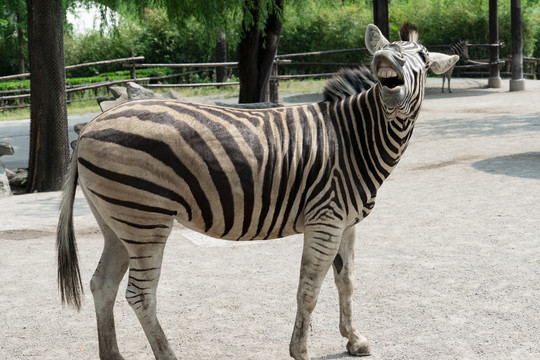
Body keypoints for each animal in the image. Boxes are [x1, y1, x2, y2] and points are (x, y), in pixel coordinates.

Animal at [57, 23, 458, 360]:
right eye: (387, 50)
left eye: (422, 56)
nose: (383, 60)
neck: (353, 139)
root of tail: (92, 123)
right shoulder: (325, 220)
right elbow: (309, 289)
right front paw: (301, 351)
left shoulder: (346, 223)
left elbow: (346, 281)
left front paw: (354, 339)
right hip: (145, 219)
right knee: (140, 295)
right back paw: (167, 356)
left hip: (117, 223)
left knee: (102, 284)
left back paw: (112, 355)